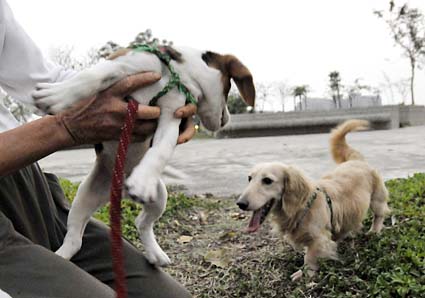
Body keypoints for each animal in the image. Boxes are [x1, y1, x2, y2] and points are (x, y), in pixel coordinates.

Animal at [32, 46, 255, 266]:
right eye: (228, 90)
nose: (227, 120)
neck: (176, 73)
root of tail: (120, 189)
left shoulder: (171, 115)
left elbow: (161, 150)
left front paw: (142, 181)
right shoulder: (121, 64)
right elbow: (91, 76)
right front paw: (56, 96)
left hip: (159, 198)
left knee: (142, 223)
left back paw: (156, 253)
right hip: (83, 198)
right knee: (75, 237)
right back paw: (61, 255)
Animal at [237, 120, 390, 280]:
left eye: (267, 180)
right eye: (249, 178)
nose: (241, 204)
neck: (302, 207)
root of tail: (356, 160)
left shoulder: (319, 239)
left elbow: (309, 257)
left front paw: (304, 274)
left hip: (377, 200)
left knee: (379, 215)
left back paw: (374, 231)